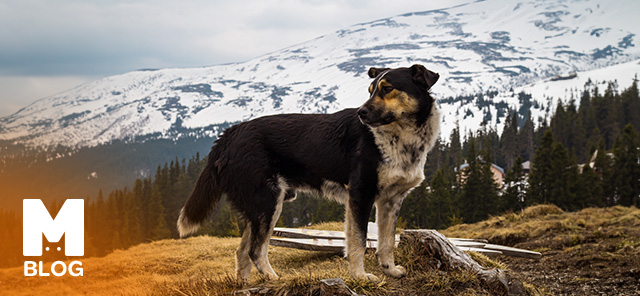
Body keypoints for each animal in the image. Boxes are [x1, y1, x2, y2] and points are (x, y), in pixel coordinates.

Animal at [178, 65, 442, 282]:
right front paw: (360, 276)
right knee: (255, 251)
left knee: (242, 252)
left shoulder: (391, 201)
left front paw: (390, 269)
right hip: (268, 203)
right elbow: (357, 241)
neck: (399, 137)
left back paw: (246, 284)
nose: (361, 113)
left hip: (259, 208)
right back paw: (274, 278)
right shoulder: (360, 195)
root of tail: (229, 134)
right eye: (370, 91)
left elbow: (386, 242)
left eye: (387, 89)